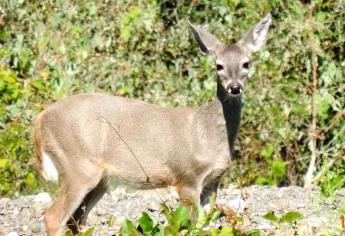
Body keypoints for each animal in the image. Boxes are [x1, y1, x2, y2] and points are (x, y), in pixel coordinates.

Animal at [35, 13, 272, 235]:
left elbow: (204, 225)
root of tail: (41, 118)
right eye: (219, 66)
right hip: (79, 164)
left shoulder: (214, 181)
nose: (235, 87)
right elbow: (189, 225)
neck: (207, 132)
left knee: (75, 221)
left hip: (100, 179)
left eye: (246, 63)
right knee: (53, 217)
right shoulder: (187, 177)